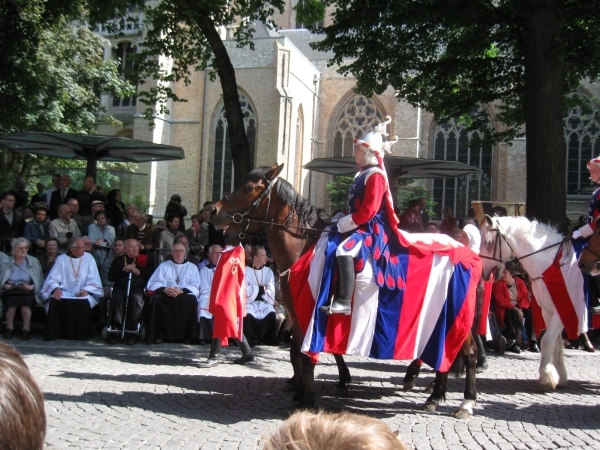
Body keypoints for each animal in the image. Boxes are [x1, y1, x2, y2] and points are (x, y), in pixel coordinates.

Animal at [211, 164, 478, 418]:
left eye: (249, 187)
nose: (214, 211)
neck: (304, 249)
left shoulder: (310, 313)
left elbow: (307, 357)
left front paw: (308, 400)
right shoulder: (297, 314)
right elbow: (297, 353)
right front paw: (303, 391)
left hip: (455, 317)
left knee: (466, 354)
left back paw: (465, 402)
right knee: (445, 352)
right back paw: (434, 396)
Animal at [478, 214, 584, 390]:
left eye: (488, 242)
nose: (481, 270)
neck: (552, 264)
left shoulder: (563, 310)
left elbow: (547, 341)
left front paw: (546, 377)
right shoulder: (549, 311)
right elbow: (556, 344)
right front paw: (560, 377)